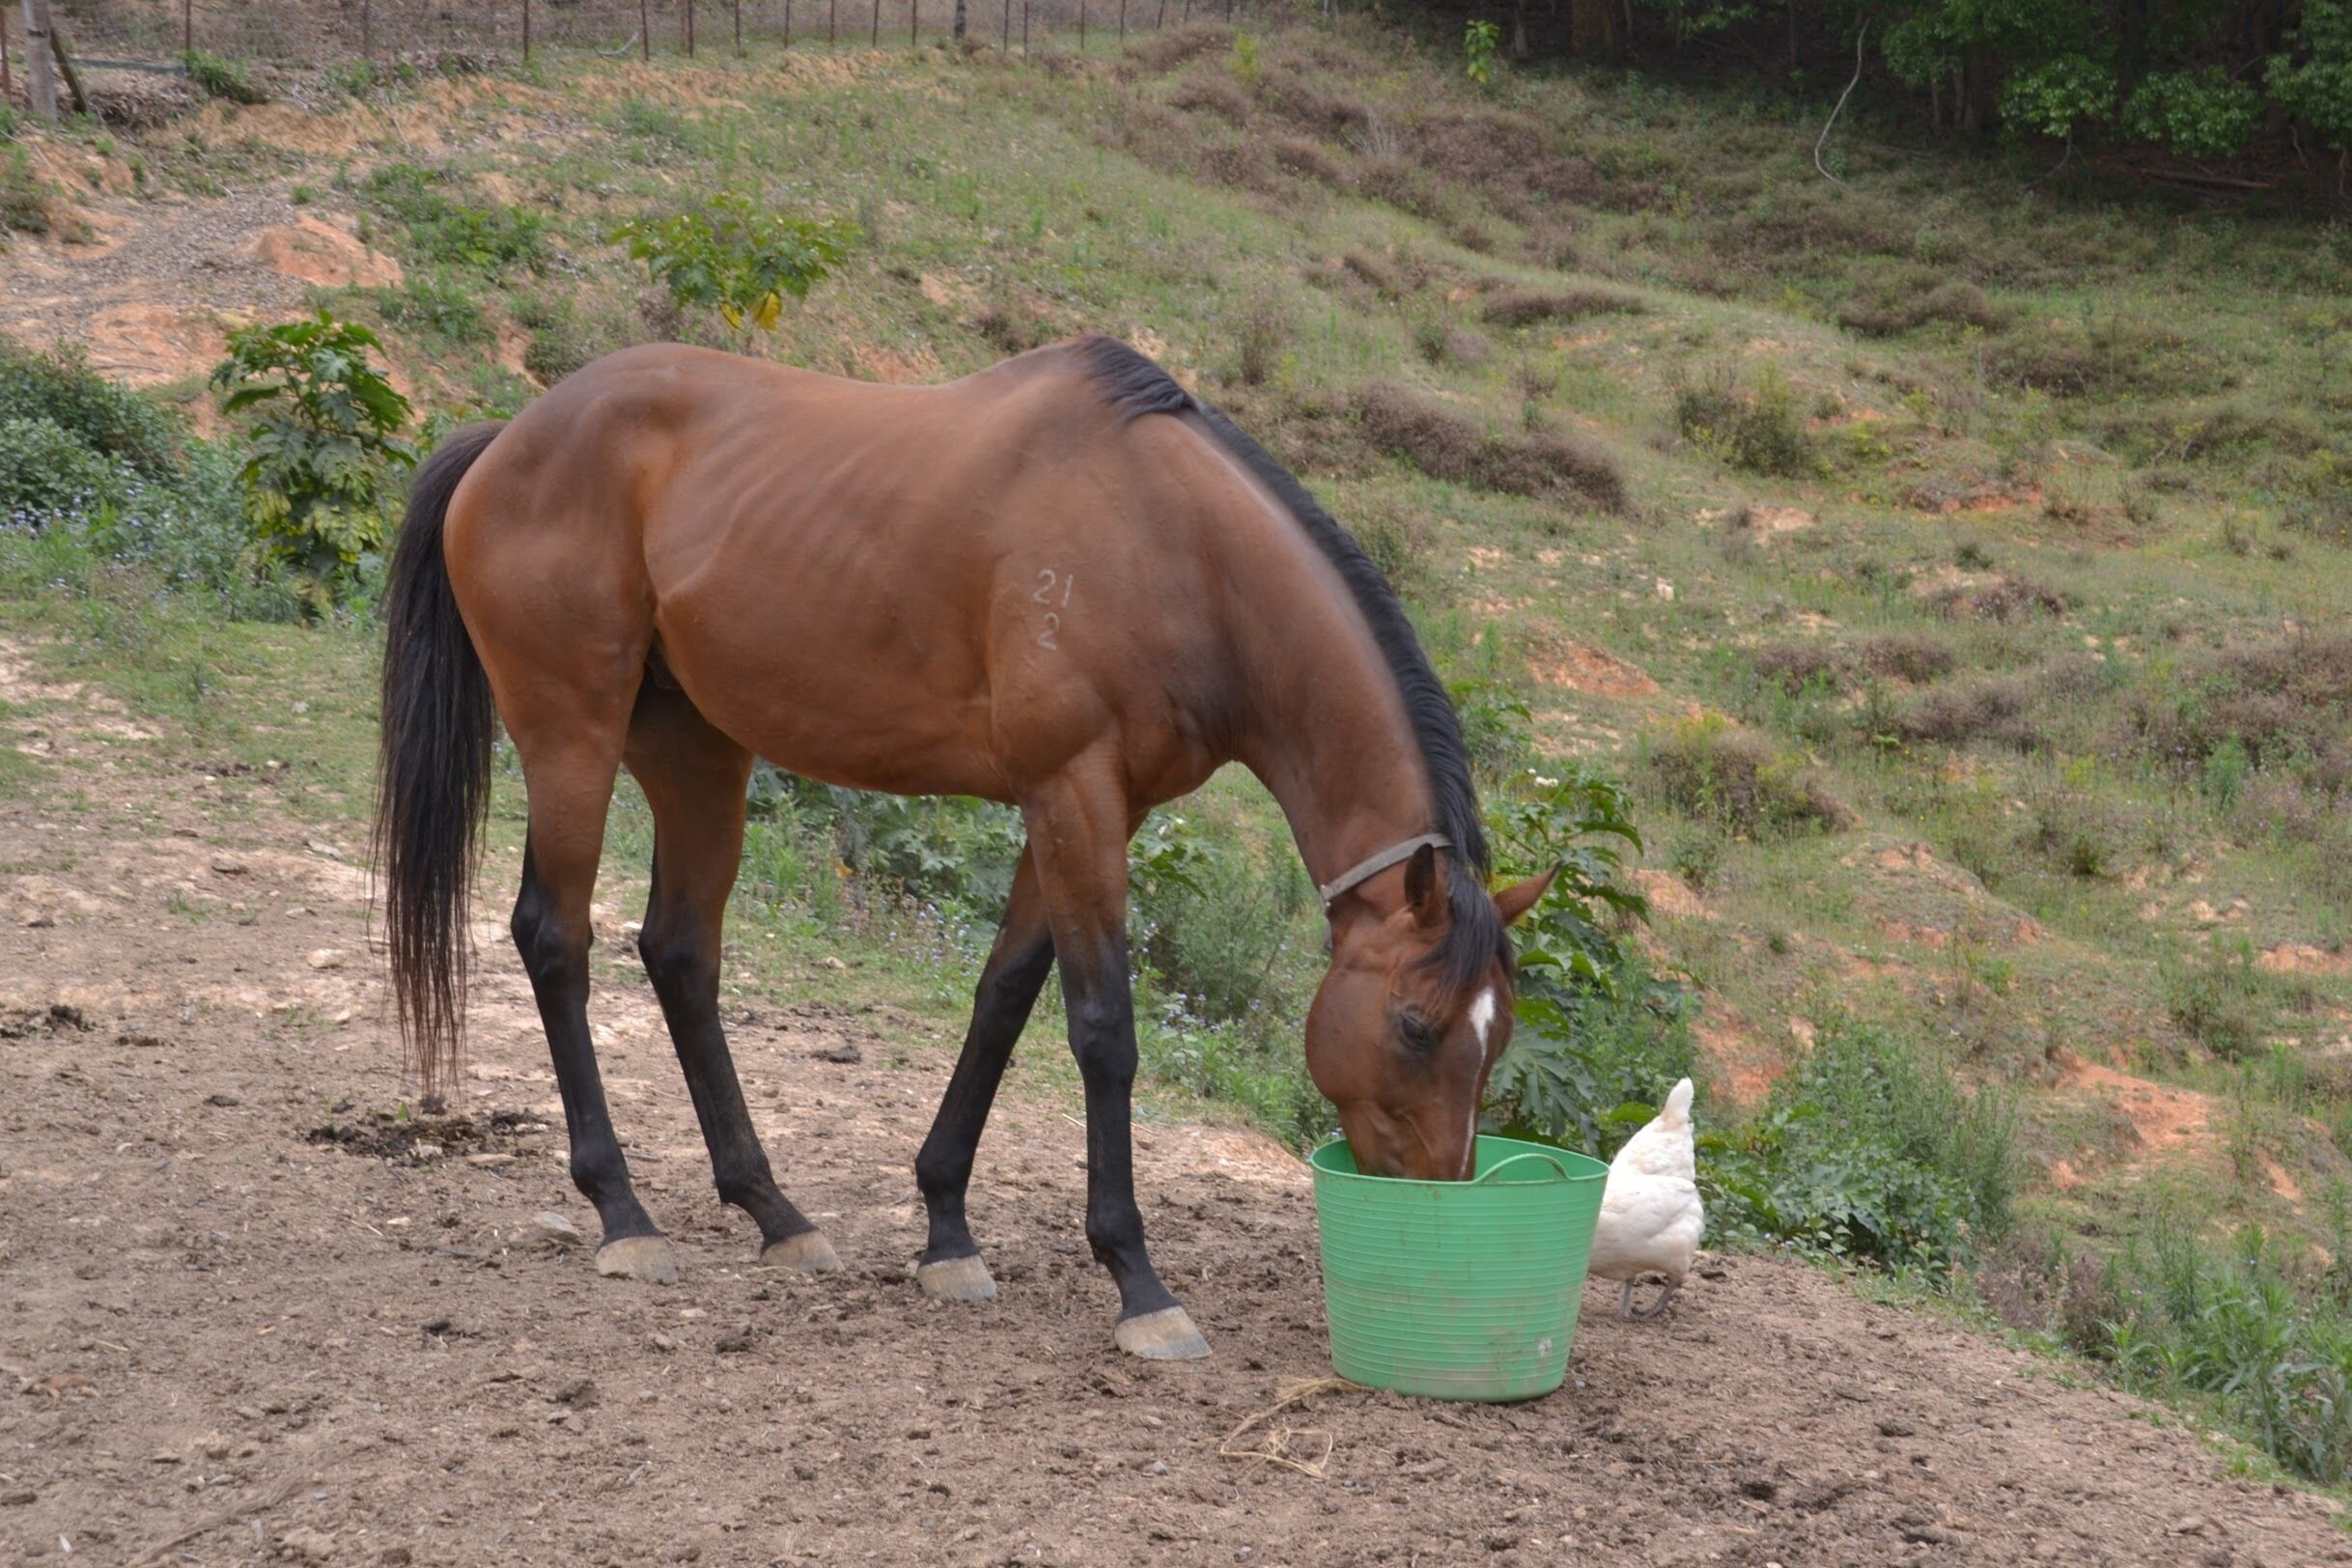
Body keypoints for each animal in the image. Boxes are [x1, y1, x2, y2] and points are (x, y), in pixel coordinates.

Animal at [376, 333, 1552, 1363]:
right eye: (1414, 1025)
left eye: (1494, 1040)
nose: (1436, 1200)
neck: (1176, 548)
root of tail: (510, 437)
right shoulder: (1073, 795)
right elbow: (1102, 1030)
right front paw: (1138, 1282)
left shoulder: (1082, 807)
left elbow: (1002, 1002)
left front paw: (946, 1228)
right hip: (571, 737)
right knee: (556, 938)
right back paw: (622, 1212)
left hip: (697, 753)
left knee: (679, 953)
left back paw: (773, 1210)